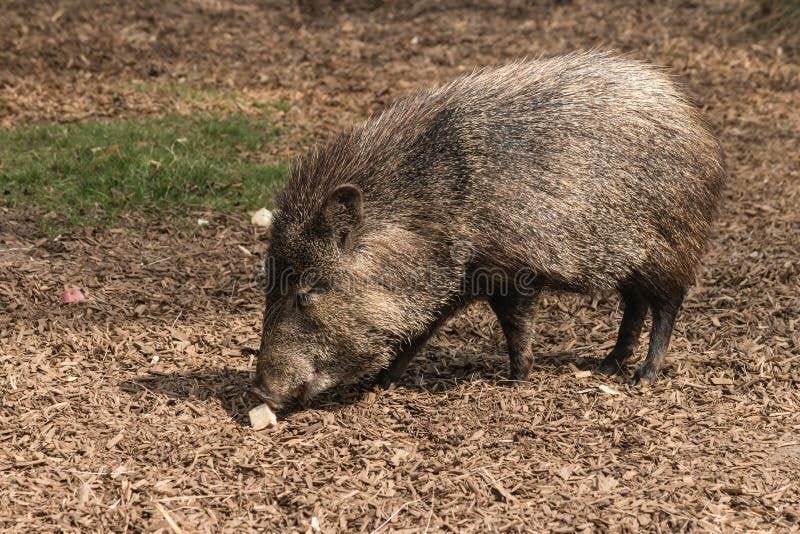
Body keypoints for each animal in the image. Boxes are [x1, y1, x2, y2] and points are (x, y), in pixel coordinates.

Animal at [251, 51, 725, 409]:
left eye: (308, 291)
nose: (259, 391)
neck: (422, 220)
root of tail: (699, 126)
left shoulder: (511, 271)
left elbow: (515, 330)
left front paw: (517, 380)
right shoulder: (449, 289)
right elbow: (414, 336)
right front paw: (379, 383)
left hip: (670, 247)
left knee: (667, 307)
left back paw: (642, 377)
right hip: (631, 261)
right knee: (635, 305)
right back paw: (608, 366)